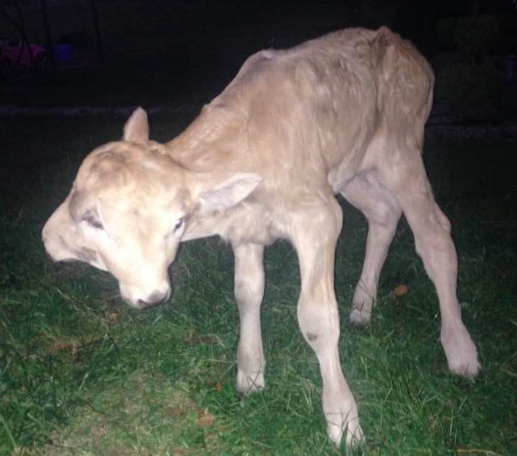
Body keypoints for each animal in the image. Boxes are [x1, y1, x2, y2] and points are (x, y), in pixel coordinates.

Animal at [43, 27, 480, 448]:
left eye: (177, 223)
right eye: (75, 193)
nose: (47, 237)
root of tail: (402, 44)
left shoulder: (318, 216)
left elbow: (317, 319)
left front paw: (343, 421)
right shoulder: (247, 227)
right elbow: (247, 293)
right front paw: (251, 374)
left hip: (402, 150)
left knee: (435, 236)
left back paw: (460, 351)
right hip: (353, 167)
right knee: (384, 213)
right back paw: (362, 306)